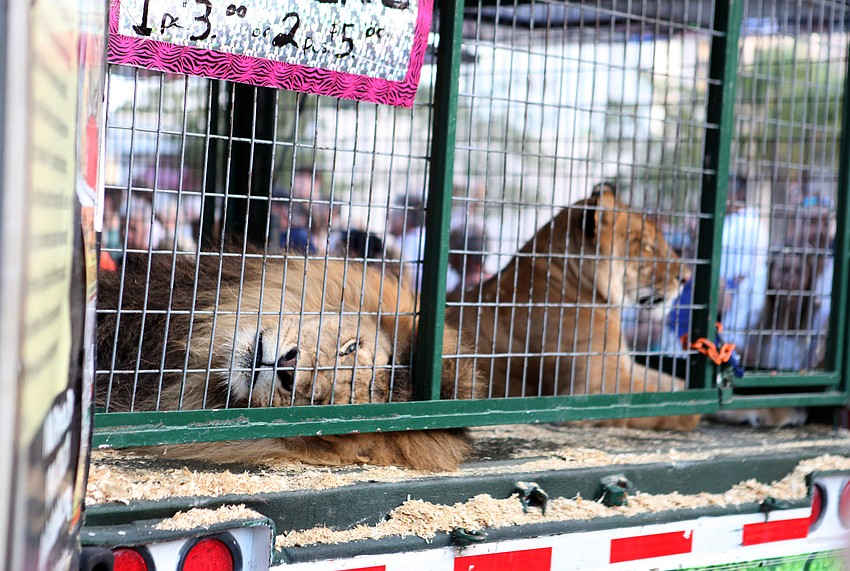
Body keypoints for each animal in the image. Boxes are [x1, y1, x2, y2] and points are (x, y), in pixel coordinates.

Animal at [451, 185, 700, 430]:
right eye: (648, 246)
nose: (687, 278)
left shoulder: (624, 365)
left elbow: (675, 383)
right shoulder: (592, 389)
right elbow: (672, 405)